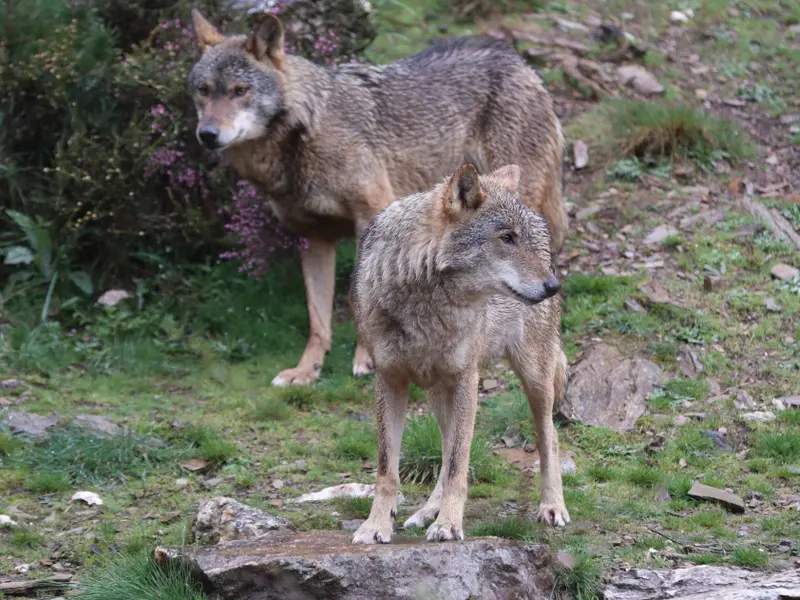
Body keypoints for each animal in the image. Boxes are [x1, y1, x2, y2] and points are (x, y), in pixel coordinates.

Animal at [189, 10, 567, 387]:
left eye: (240, 91)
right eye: (203, 91)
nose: (207, 134)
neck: (306, 131)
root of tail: (519, 61)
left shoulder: (369, 214)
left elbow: (356, 296)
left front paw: (366, 358)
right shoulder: (313, 238)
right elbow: (317, 317)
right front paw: (306, 369)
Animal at [350, 164, 569, 544]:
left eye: (519, 238)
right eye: (507, 238)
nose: (554, 286)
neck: (425, 303)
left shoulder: (467, 378)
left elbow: (458, 465)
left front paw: (449, 525)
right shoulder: (389, 379)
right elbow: (387, 468)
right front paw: (376, 525)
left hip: (534, 379)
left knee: (549, 436)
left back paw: (552, 506)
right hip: (438, 392)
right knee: (445, 444)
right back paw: (426, 512)